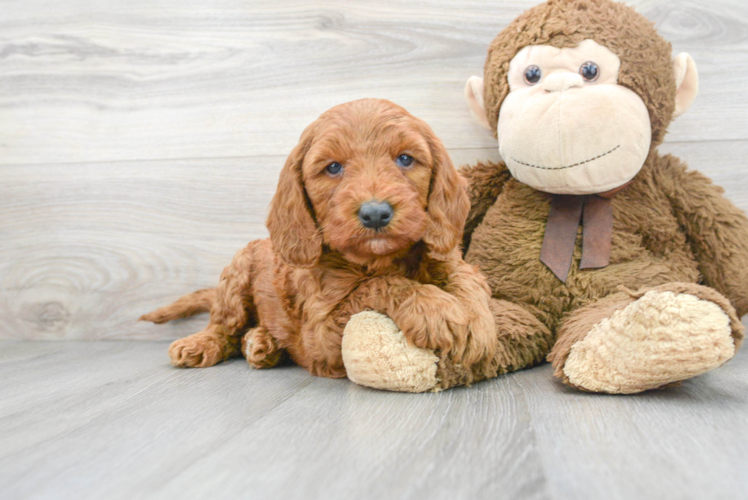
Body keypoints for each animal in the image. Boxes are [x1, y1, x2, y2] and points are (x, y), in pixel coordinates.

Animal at [143, 97, 500, 380]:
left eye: (405, 159)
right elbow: (377, 285)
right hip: (238, 269)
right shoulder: (321, 334)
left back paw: (263, 343)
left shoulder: (449, 258)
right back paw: (202, 343)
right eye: (332, 167)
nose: (375, 213)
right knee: (224, 324)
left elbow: (468, 281)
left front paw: (478, 326)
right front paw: (434, 308)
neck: (381, 259)